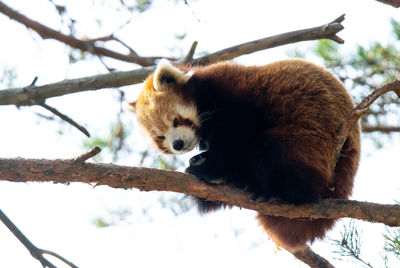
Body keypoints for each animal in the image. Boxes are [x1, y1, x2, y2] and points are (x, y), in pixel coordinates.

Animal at [126, 58, 362, 251]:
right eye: (160, 137)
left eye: (175, 121)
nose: (178, 144)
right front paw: (203, 162)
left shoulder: (235, 96)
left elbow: (239, 135)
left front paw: (212, 169)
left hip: (308, 139)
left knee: (273, 155)